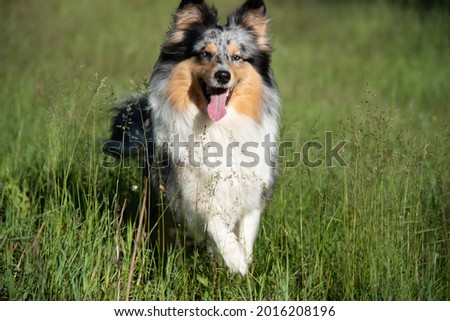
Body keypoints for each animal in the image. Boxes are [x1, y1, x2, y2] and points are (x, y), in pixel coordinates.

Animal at [106, 0, 280, 276]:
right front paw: (236, 261)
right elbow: (214, 221)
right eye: (204, 54)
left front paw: (243, 263)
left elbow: (246, 234)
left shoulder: (253, 190)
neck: (219, 127)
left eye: (237, 57)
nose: (222, 76)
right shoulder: (188, 190)